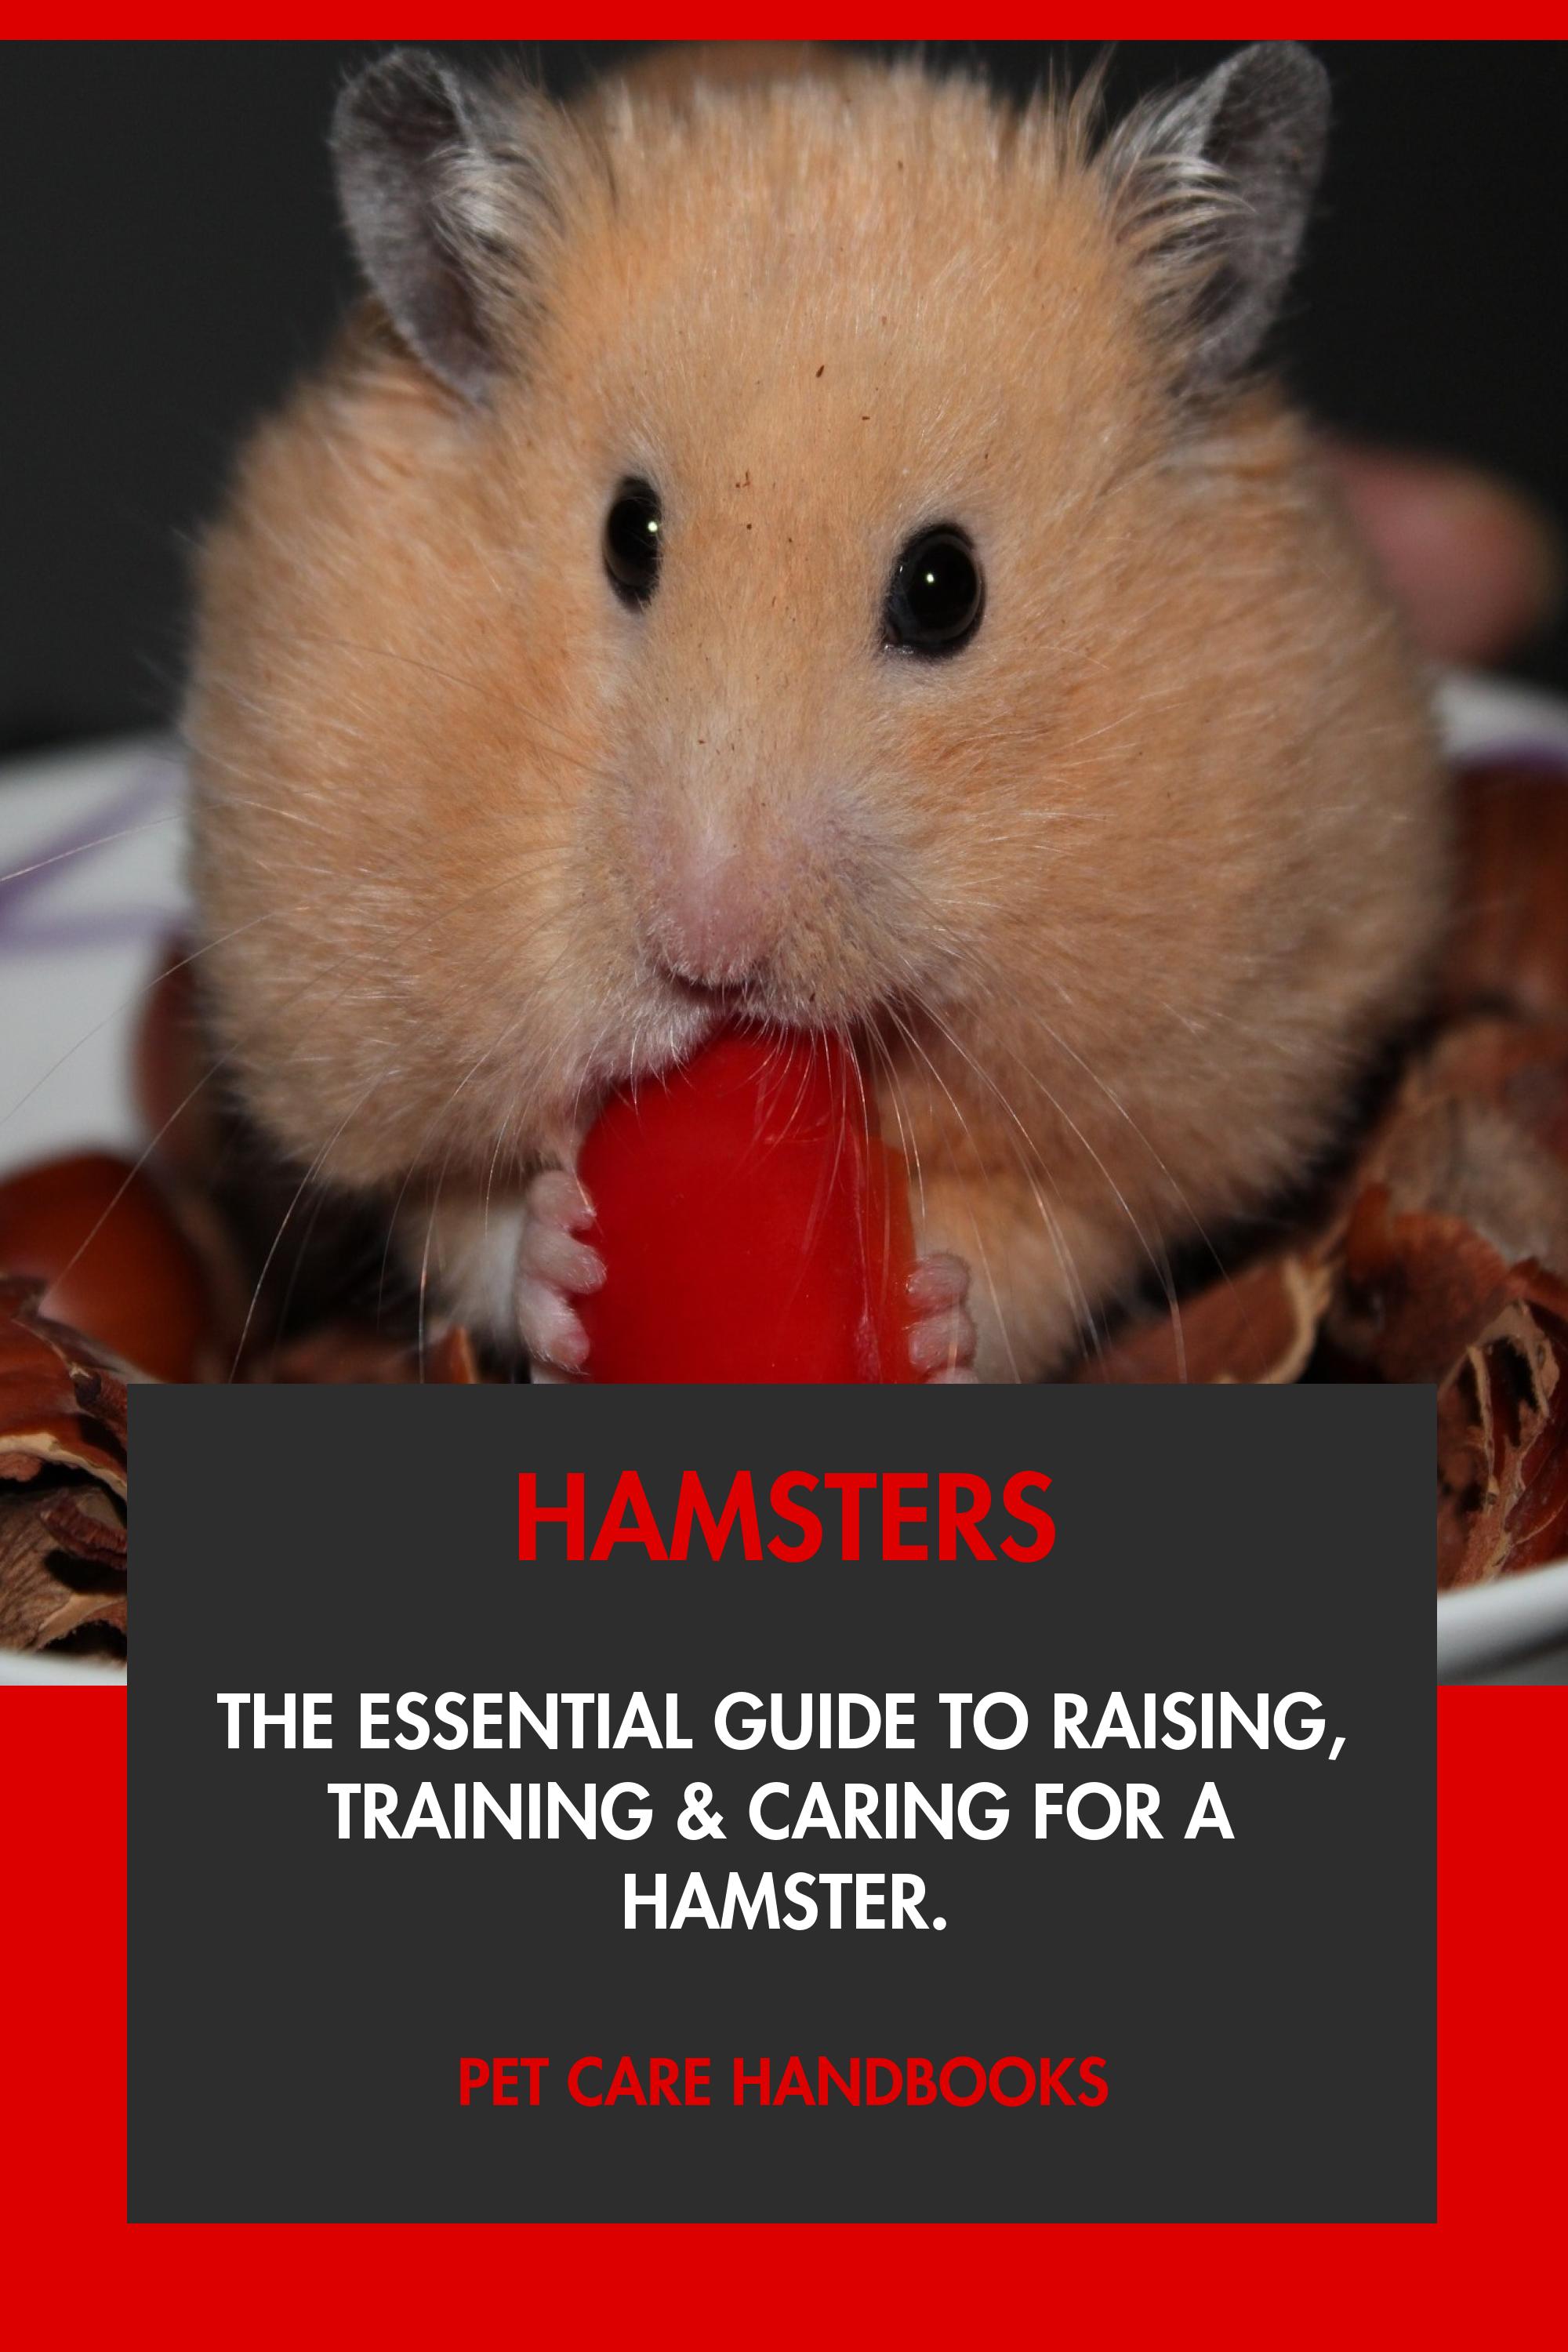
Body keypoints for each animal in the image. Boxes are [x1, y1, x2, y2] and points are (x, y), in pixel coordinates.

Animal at [184, 40, 1449, 1383]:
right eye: (627, 535)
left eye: (946, 588)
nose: (709, 958)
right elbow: (463, 1214)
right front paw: (564, 1259)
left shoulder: (1152, 1106)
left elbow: (1035, 1247)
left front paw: (935, 1309)